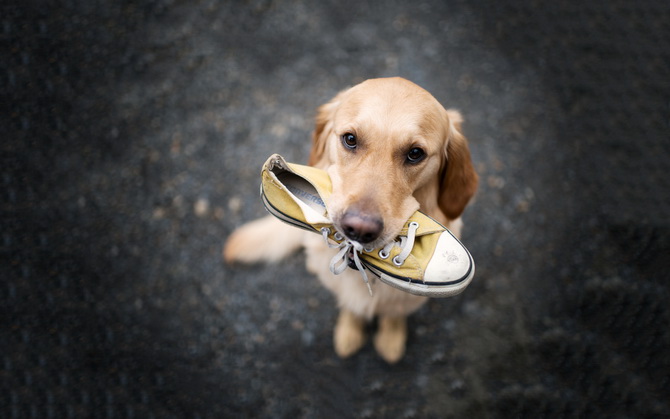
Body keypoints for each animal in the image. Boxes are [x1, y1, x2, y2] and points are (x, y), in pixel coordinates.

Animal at [224, 77, 478, 362]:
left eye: (415, 153)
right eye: (350, 139)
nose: (358, 229)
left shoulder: (408, 299)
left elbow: (394, 313)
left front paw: (391, 337)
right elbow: (351, 307)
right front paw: (349, 332)